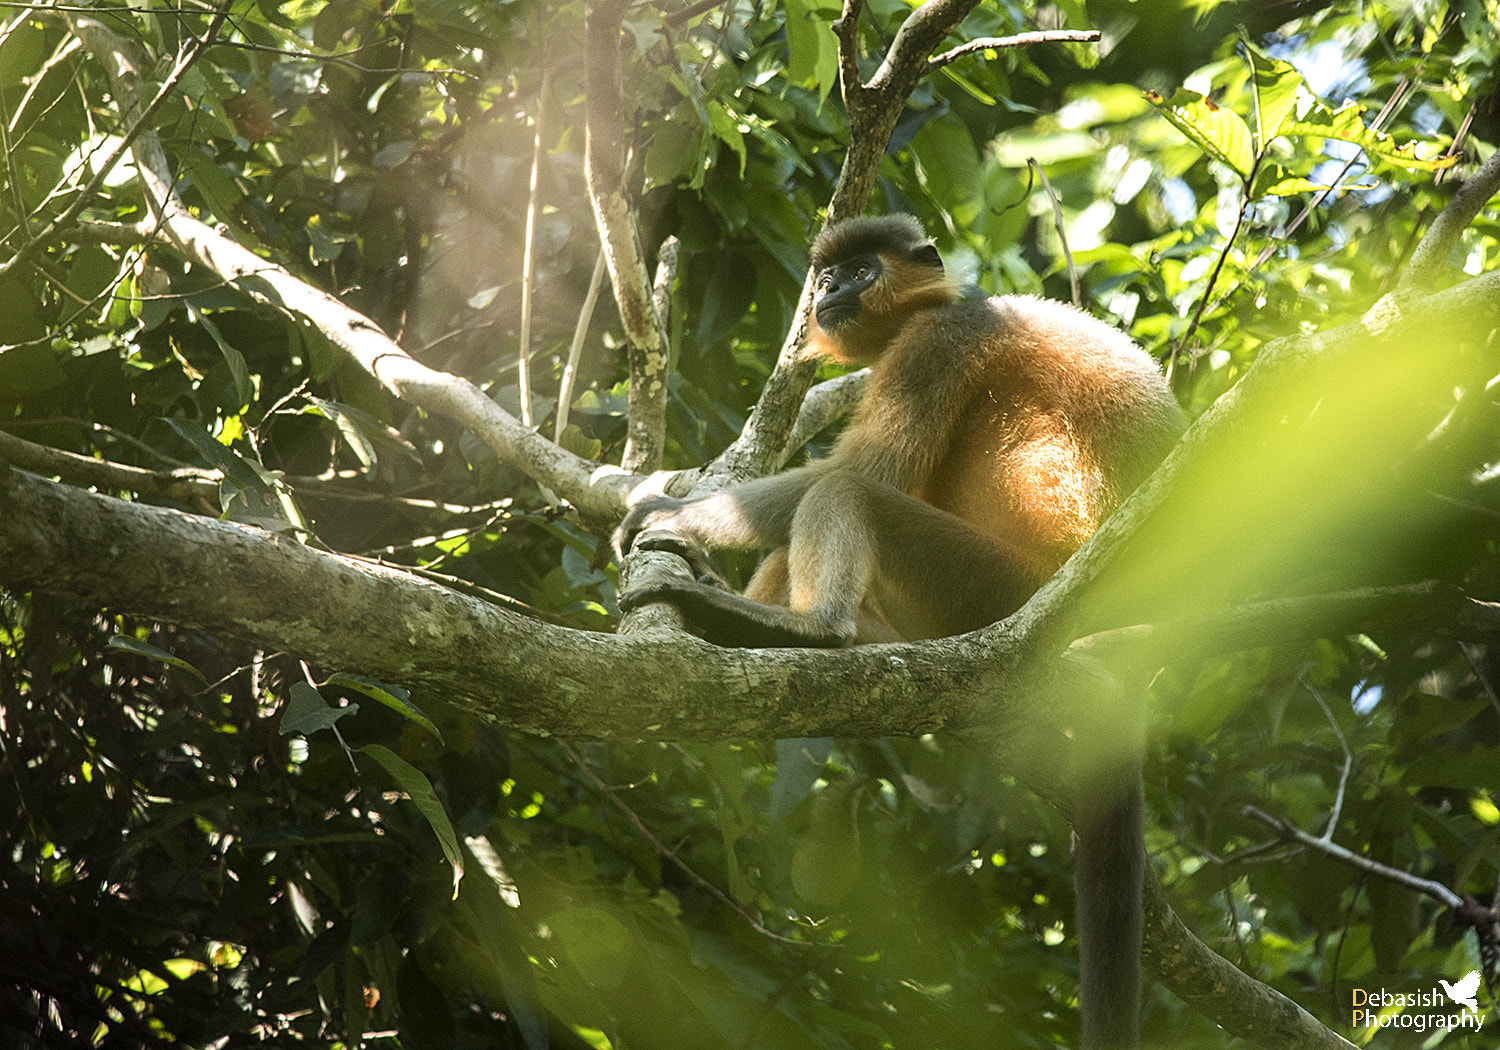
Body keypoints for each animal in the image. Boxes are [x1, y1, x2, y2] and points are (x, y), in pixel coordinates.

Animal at [609, 216, 1182, 1050]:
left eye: (862, 271)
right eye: (829, 276)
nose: (830, 291)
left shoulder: (937, 343)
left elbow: (861, 472)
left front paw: (666, 514)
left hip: (1000, 586)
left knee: (848, 490)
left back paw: (809, 632)